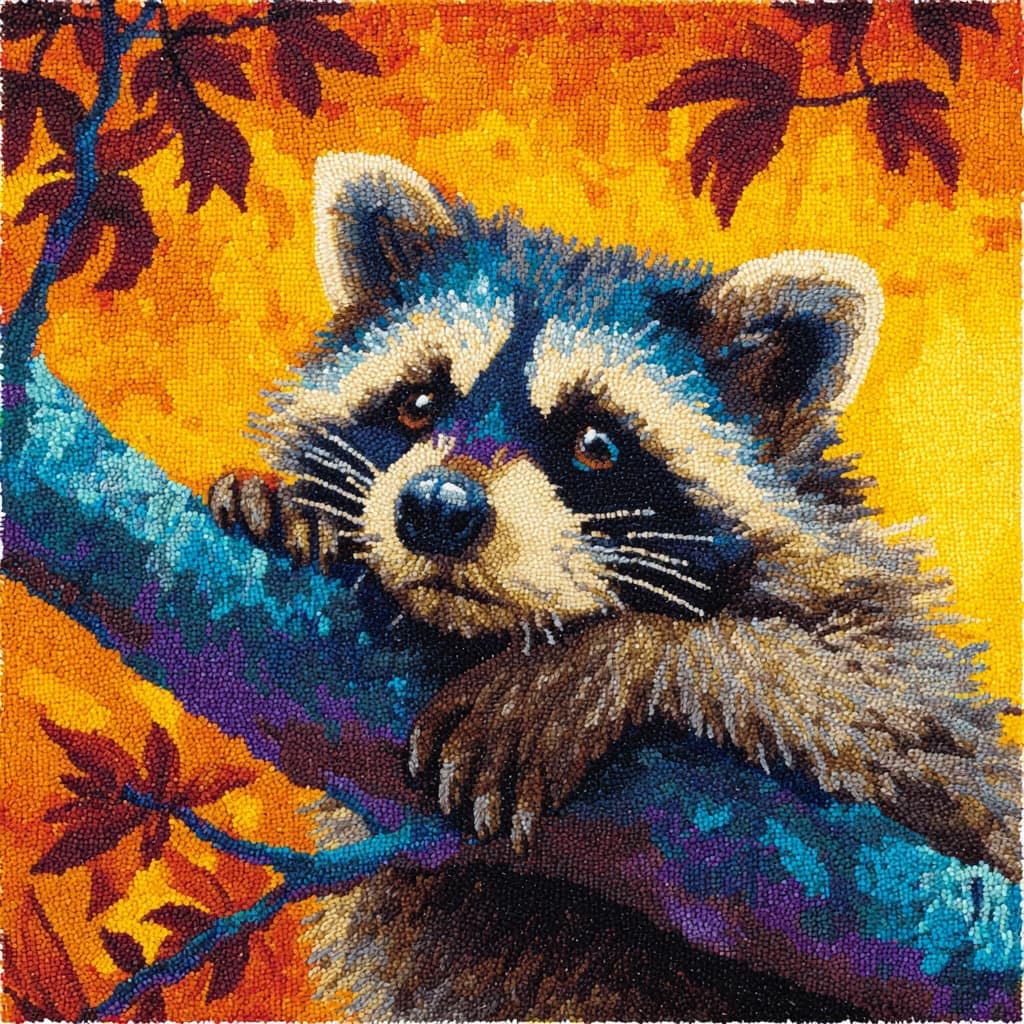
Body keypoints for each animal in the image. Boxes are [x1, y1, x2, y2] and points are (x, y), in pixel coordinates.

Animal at [210, 152, 1020, 1019]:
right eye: (419, 403)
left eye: (597, 443)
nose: (436, 508)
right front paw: (294, 510)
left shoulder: (911, 688)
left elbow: (891, 729)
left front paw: (621, 657)